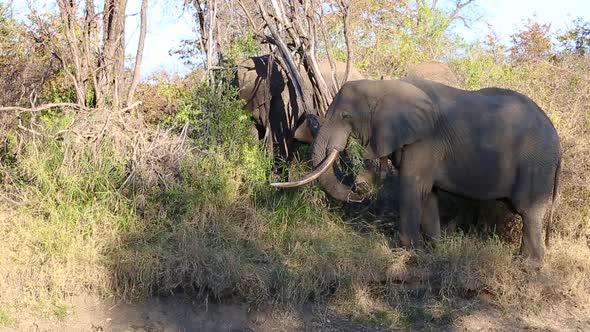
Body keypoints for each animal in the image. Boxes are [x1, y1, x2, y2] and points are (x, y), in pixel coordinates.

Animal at [274, 76, 564, 266]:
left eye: (346, 117)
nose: (359, 189)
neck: (384, 86)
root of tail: (558, 140)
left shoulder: (425, 140)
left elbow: (412, 187)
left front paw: (406, 251)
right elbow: (429, 195)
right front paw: (434, 248)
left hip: (535, 164)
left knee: (529, 212)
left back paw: (528, 266)